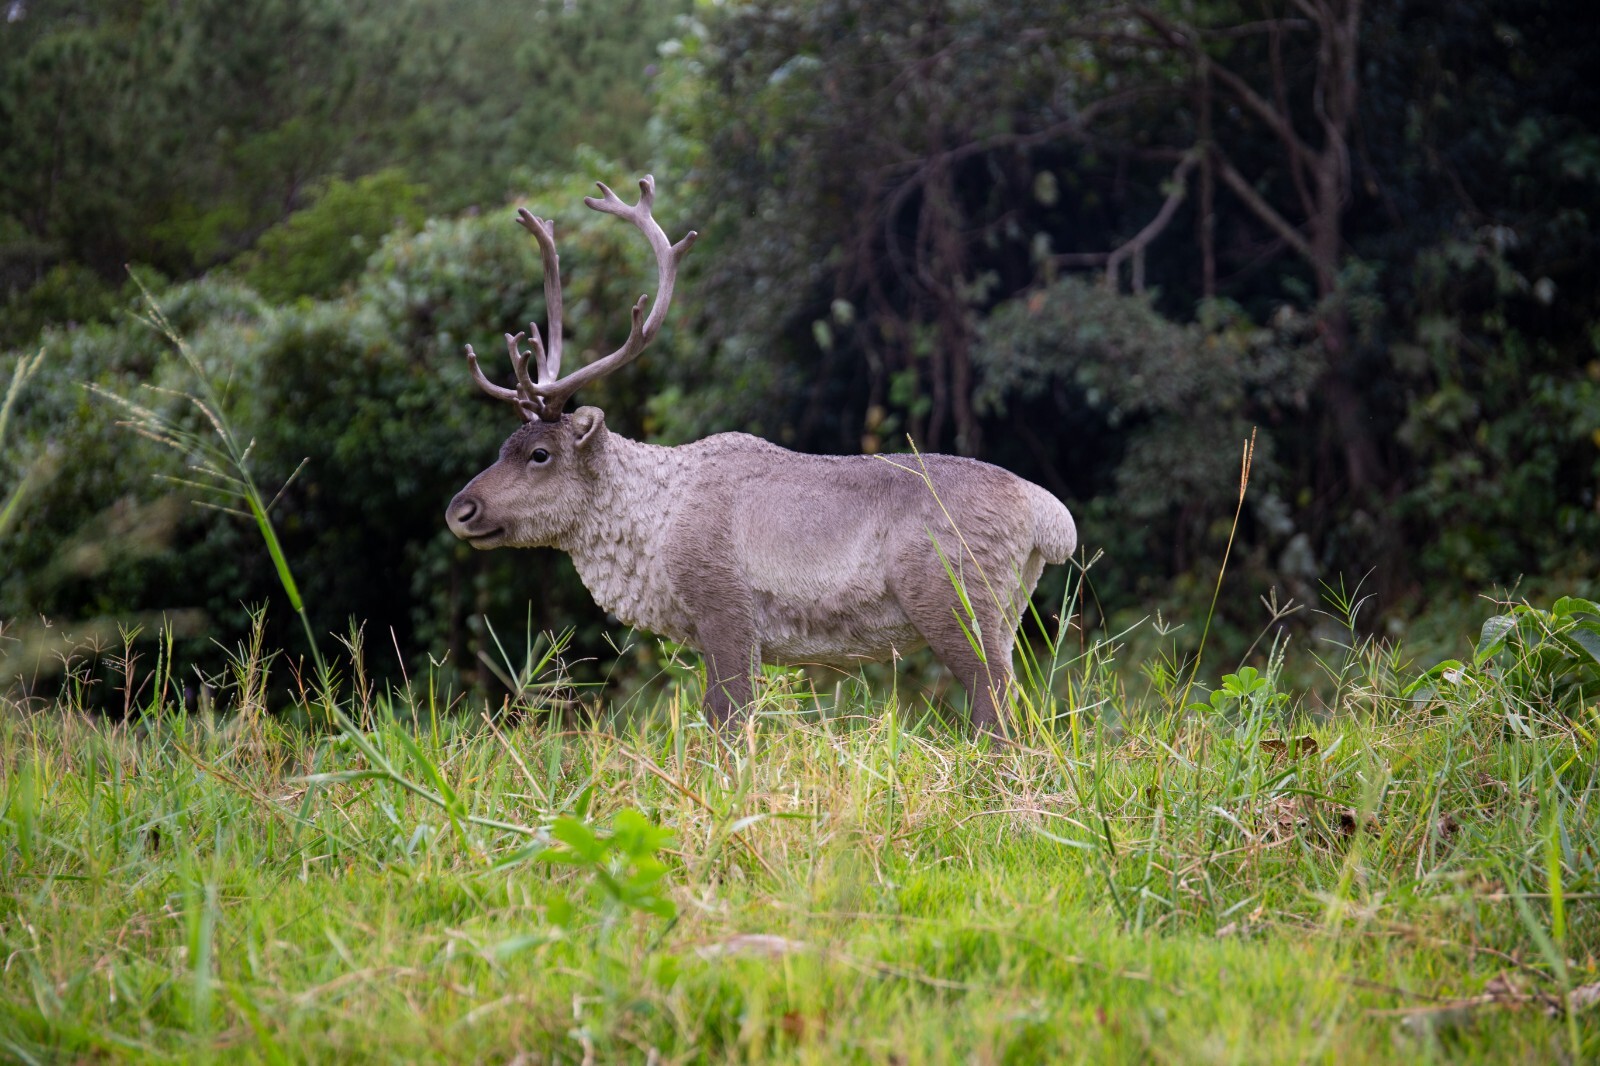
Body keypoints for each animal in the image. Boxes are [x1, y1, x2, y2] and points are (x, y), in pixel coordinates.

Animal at [445, 176, 1077, 732]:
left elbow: (728, 723)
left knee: (997, 710)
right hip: (1006, 613)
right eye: (506, 446)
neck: (651, 530)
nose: (460, 510)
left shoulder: (725, 607)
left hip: (956, 603)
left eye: (540, 454)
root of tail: (1052, 520)